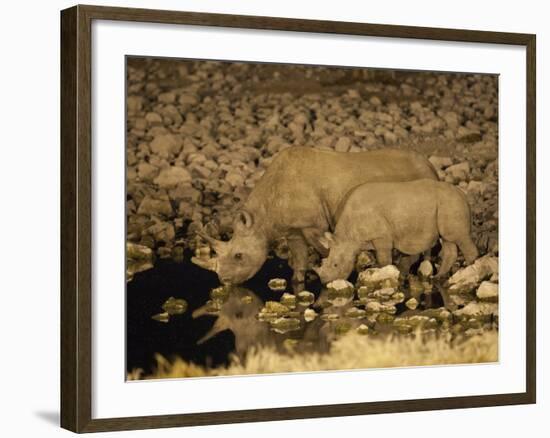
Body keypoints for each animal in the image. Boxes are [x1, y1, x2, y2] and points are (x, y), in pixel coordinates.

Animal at [314, 179, 478, 284]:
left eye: (335, 265)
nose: (324, 281)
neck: (347, 236)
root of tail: (462, 195)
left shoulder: (381, 236)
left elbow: (383, 259)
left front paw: (384, 274)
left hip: (451, 203)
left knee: (459, 237)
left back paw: (471, 273)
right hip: (447, 204)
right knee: (448, 239)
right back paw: (438, 277)